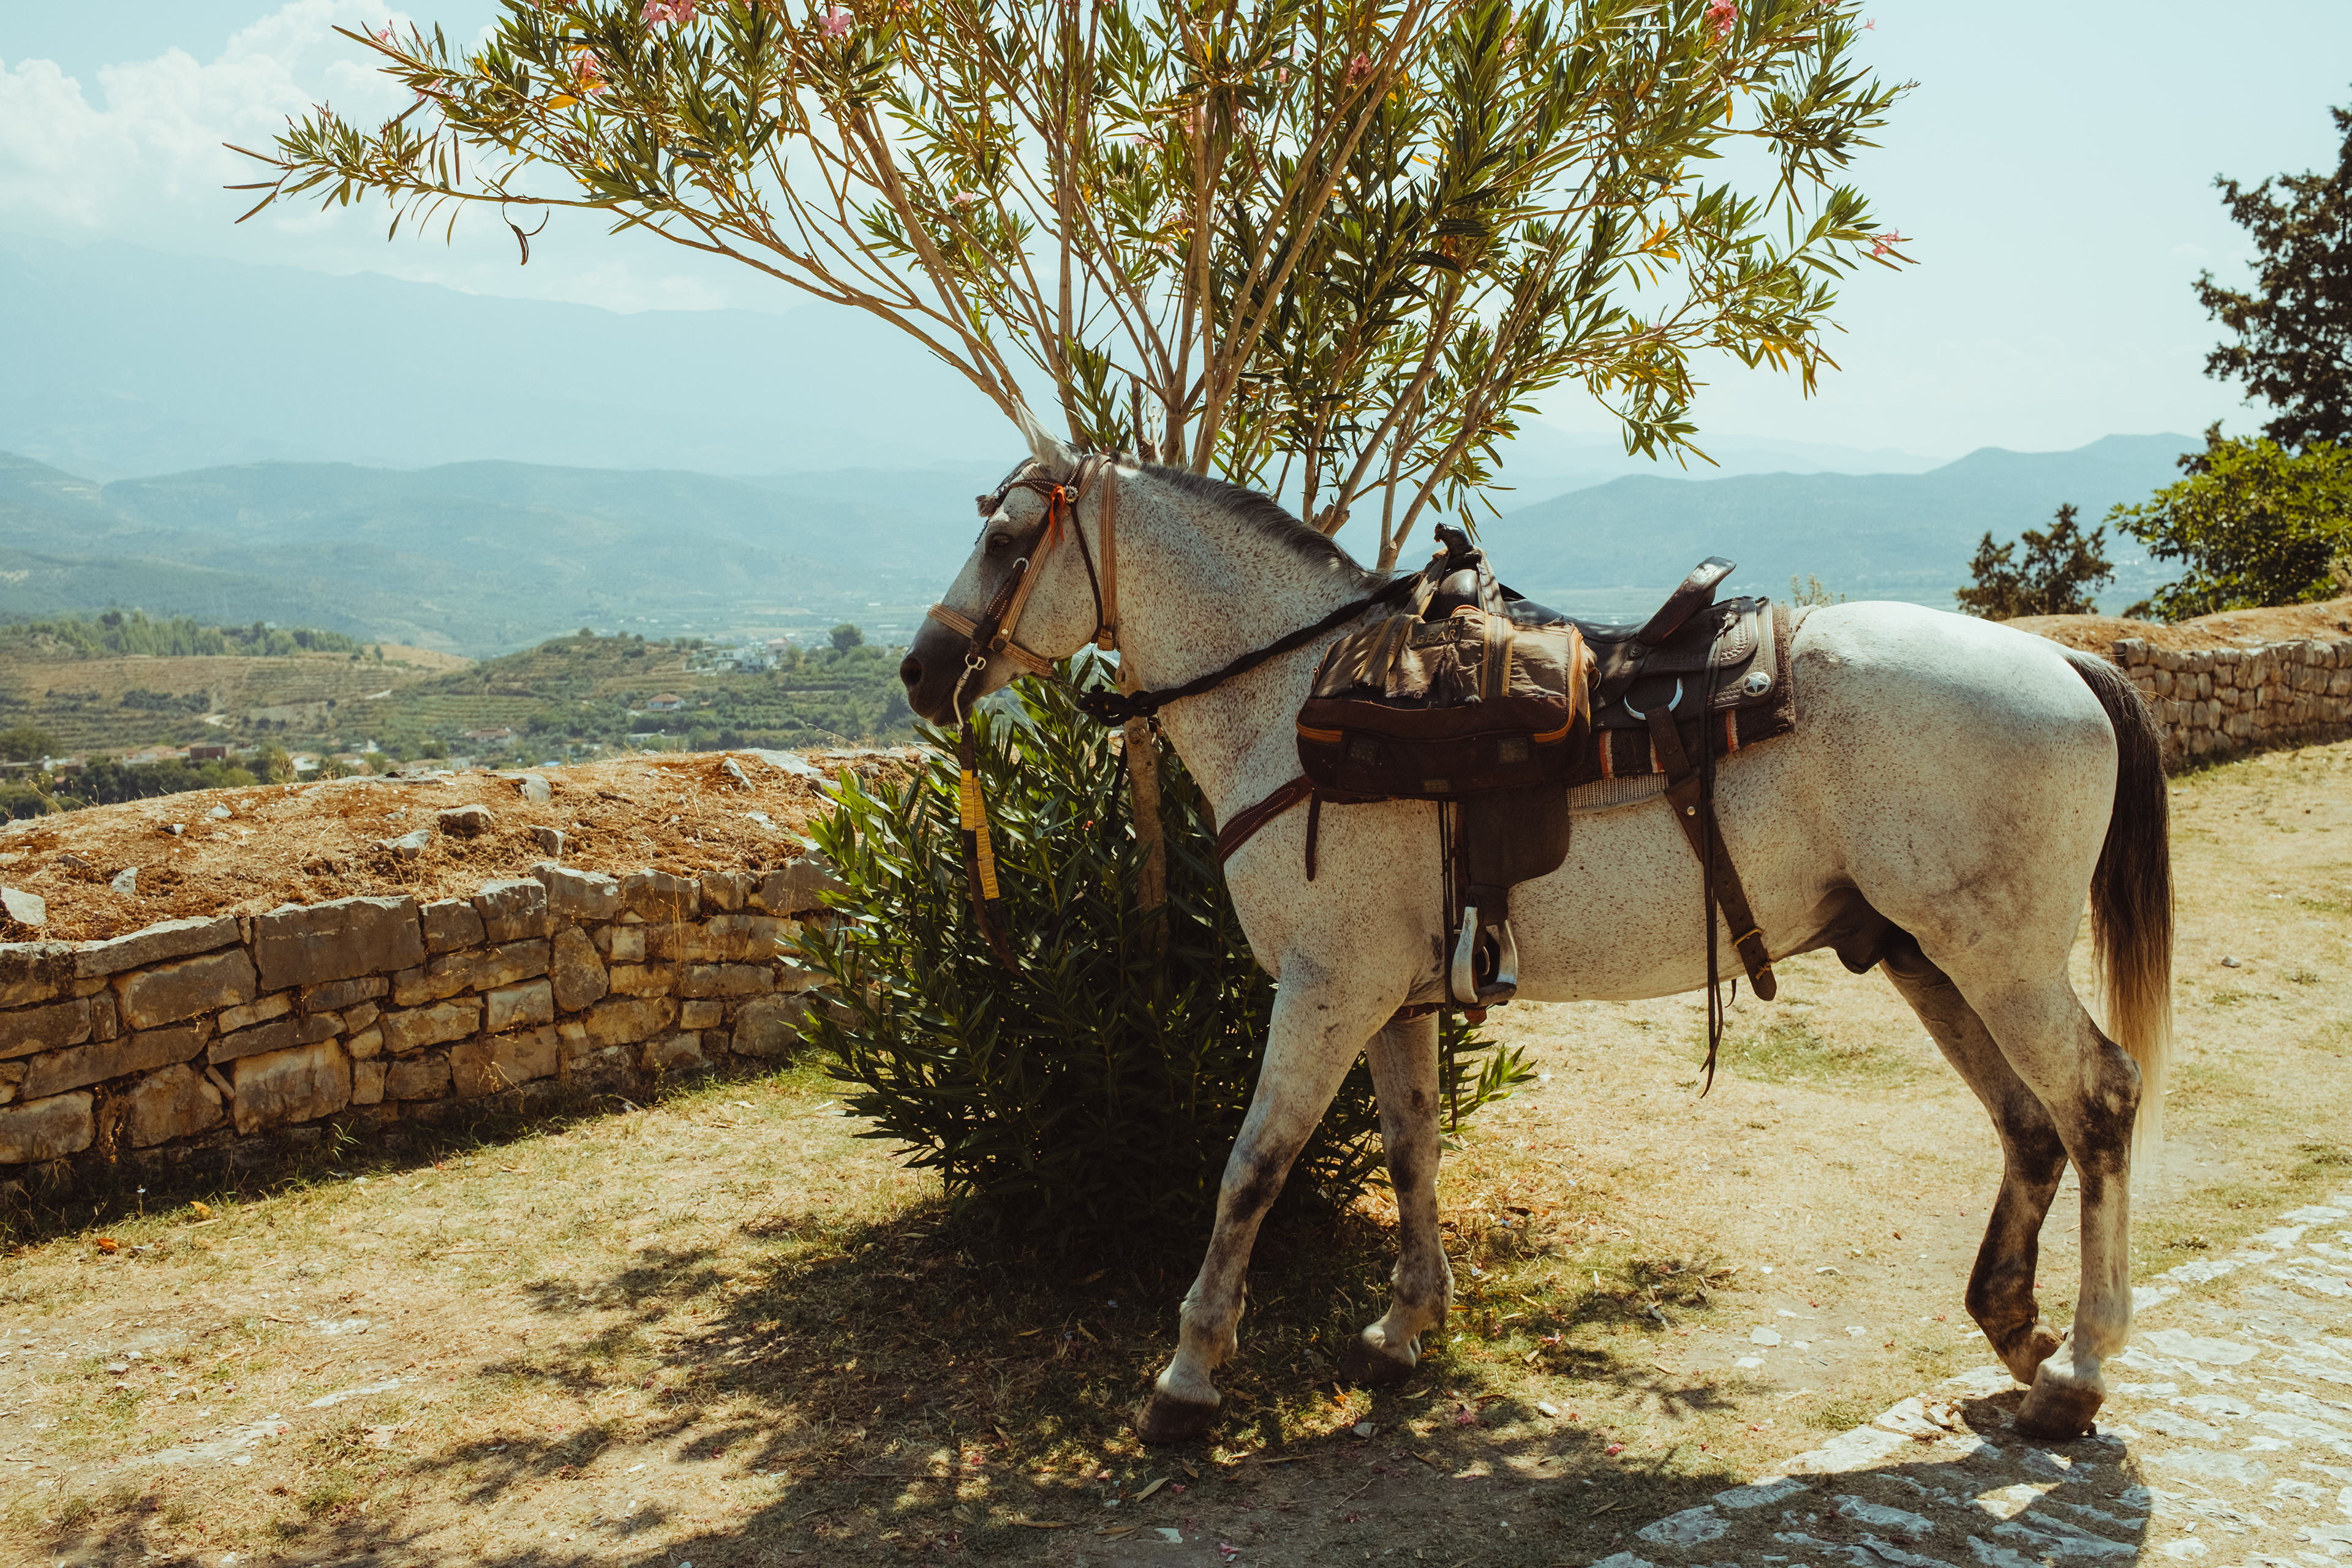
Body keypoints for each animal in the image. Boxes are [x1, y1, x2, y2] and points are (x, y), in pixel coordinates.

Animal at [897, 414, 2173, 1445]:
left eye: (1009, 539)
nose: (921, 670)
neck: (1298, 703)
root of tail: (2064, 660)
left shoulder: (1324, 987)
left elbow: (1252, 1168)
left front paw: (1187, 1378)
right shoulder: (1390, 995)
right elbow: (1412, 1148)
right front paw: (1404, 1327)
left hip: (1999, 961)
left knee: (2098, 1101)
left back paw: (2080, 1370)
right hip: (1929, 955)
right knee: (2031, 1125)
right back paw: (2016, 1329)